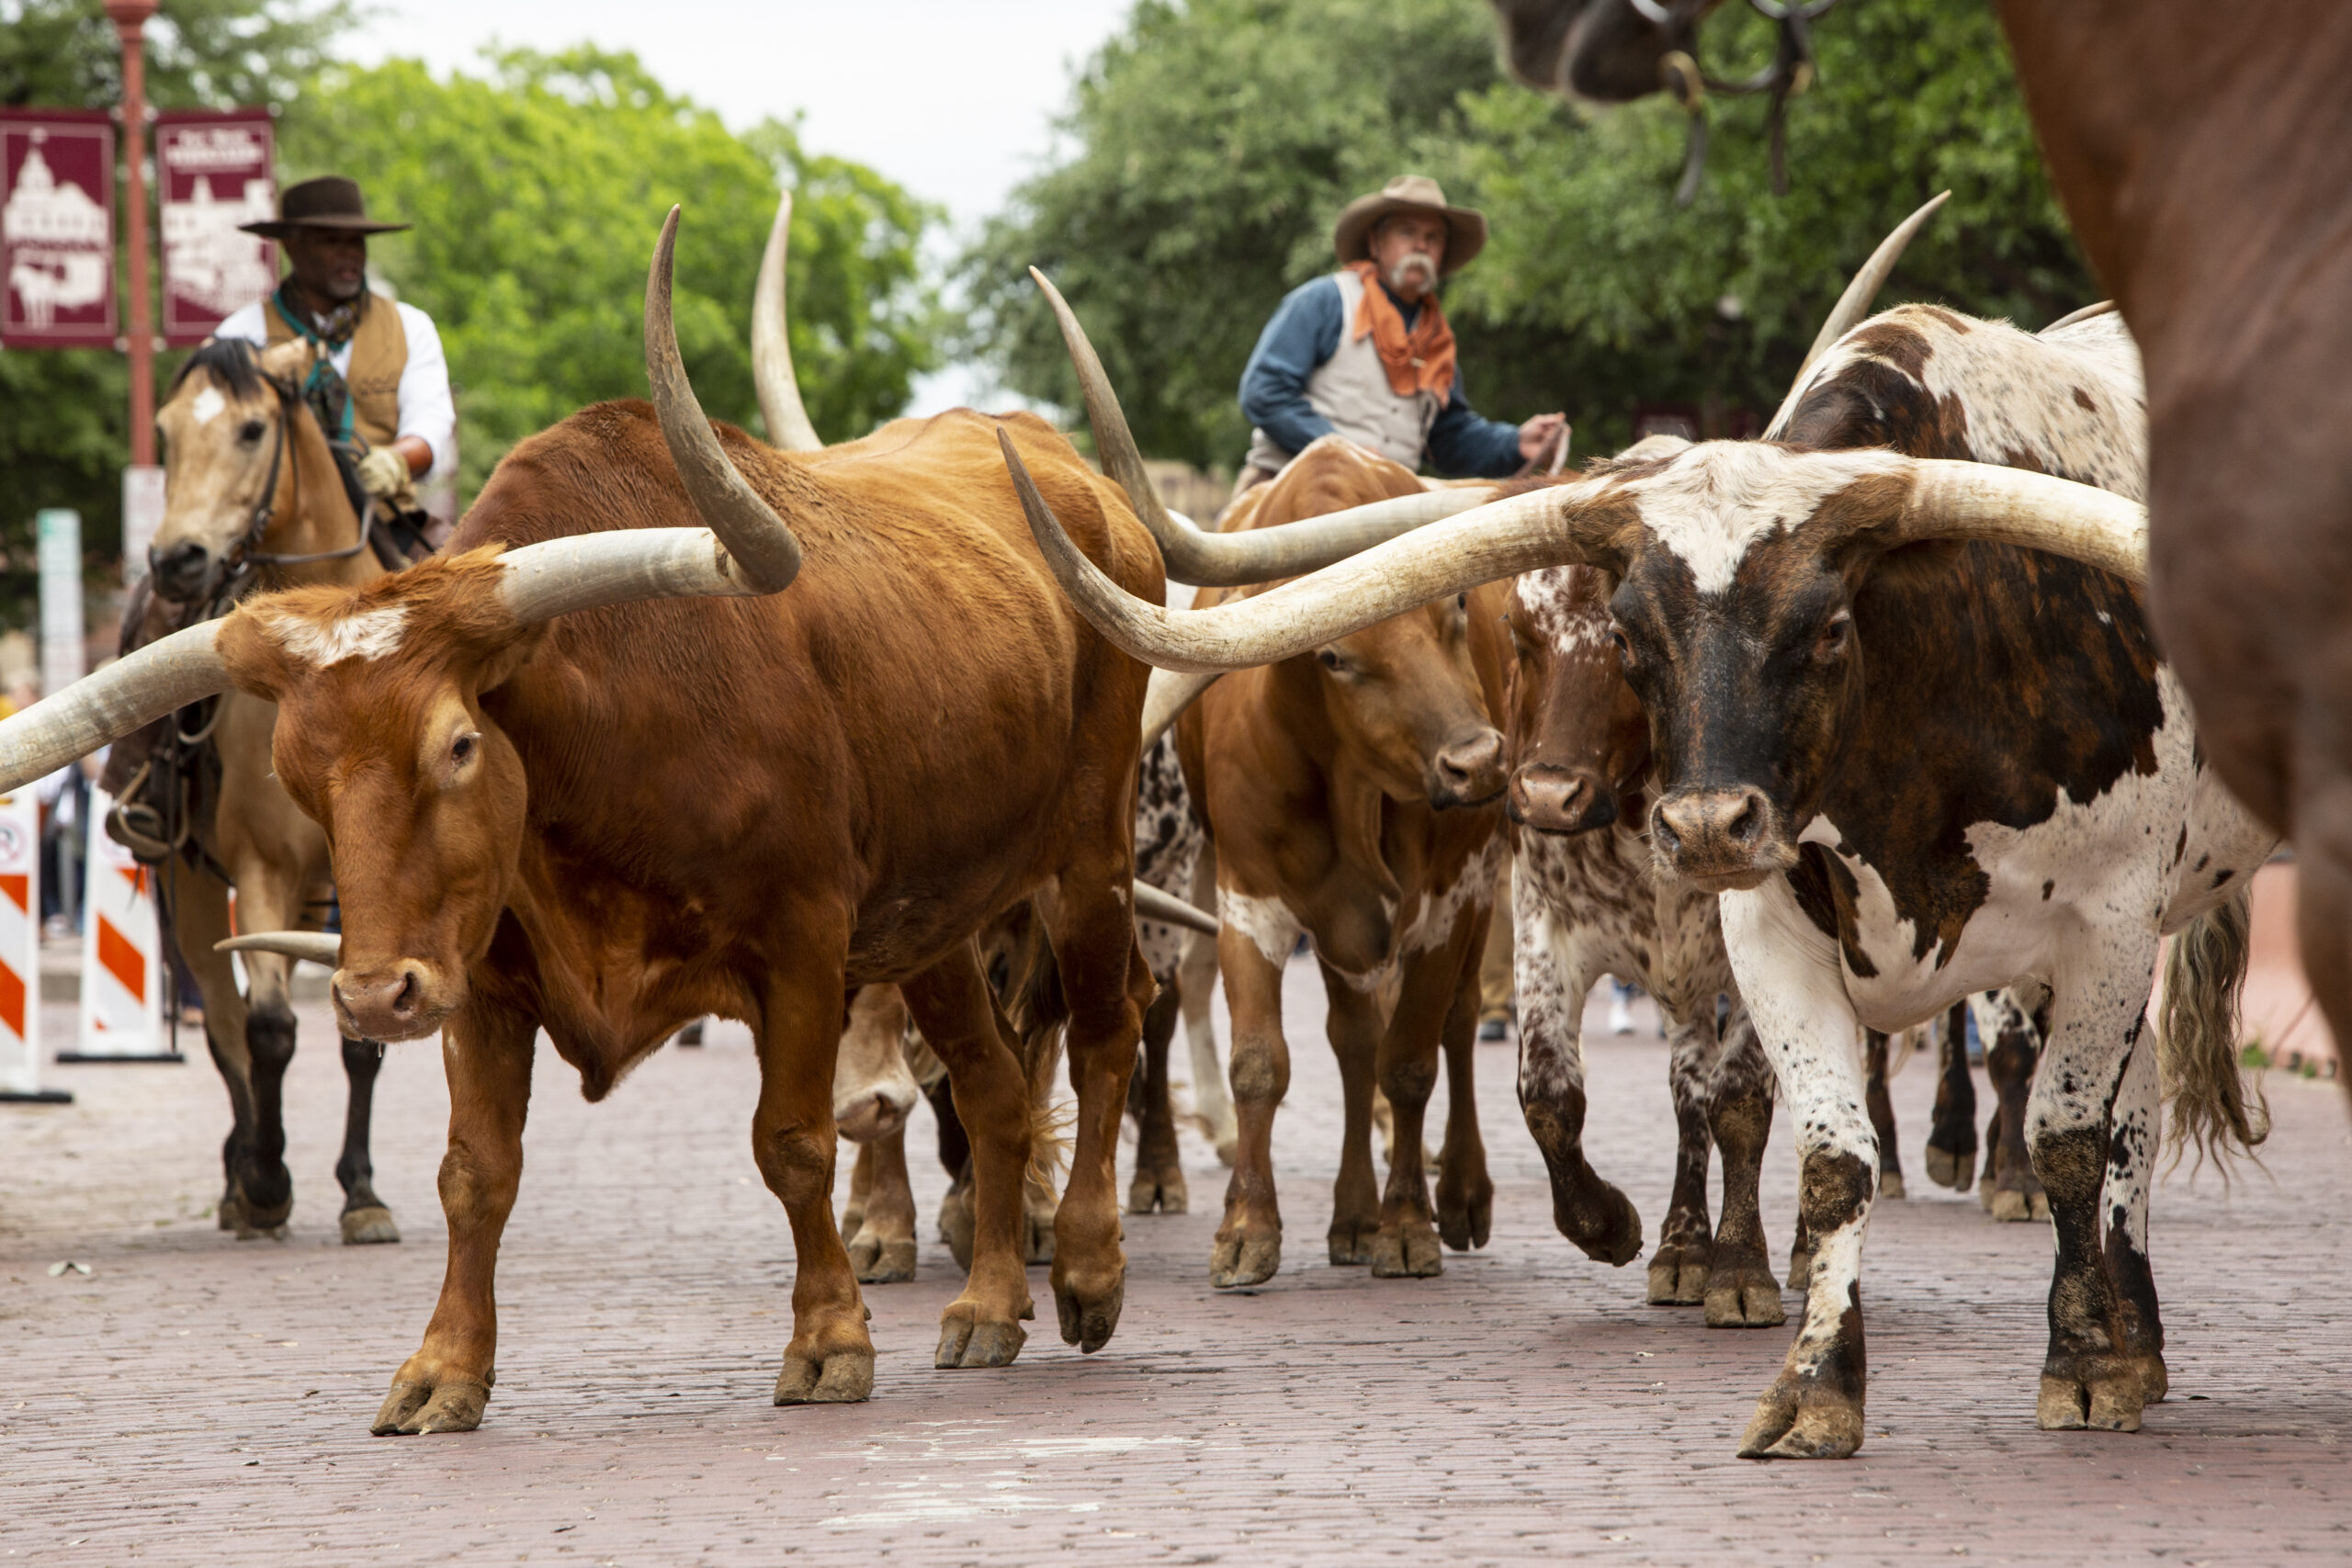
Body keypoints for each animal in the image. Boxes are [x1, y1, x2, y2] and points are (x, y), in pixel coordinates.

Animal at [0, 211, 1175, 1433]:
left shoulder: (803, 946)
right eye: (296, 770)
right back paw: (989, 1306)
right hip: (933, 914)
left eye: (458, 747)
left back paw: (1086, 1269)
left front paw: (829, 1342)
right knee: (993, 1082)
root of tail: (1082, 489)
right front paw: (442, 1370)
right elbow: (473, 1171)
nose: (373, 997)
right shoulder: (477, 979)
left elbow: (793, 1143)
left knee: (1107, 1025)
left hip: (1086, 855)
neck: (609, 736)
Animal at [1008, 337, 2271, 1458]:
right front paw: (1803, 1379)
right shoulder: (1717, 930)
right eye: (1628, 635)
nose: (1703, 825)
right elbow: (1775, 1141)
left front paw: (2076, 1362)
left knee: (2114, 1119)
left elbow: (2056, 1136)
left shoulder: (2099, 922)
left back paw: (2117, 1333)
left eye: (1828, 628)